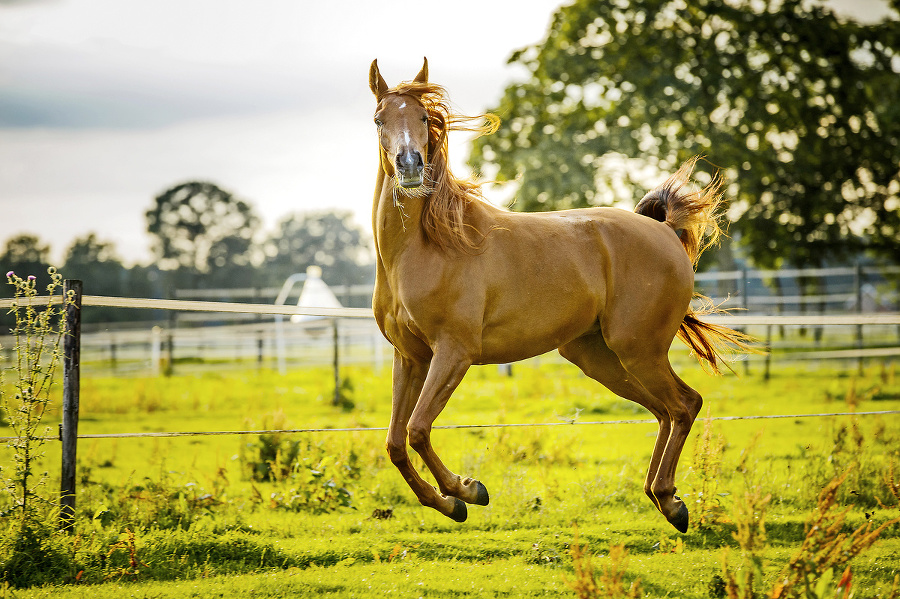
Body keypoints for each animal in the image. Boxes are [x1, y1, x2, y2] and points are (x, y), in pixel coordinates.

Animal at [366, 57, 752, 536]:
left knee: (684, 404)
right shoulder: (411, 357)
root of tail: (663, 230)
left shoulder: (454, 352)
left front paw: (468, 491)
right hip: (599, 357)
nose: (410, 165)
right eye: (380, 119)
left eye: (423, 117)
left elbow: (418, 430)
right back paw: (664, 499)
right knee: (666, 410)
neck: (424, 247)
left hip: (637, 350)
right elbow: (395, 443)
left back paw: (669, 501)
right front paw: (450, 504)